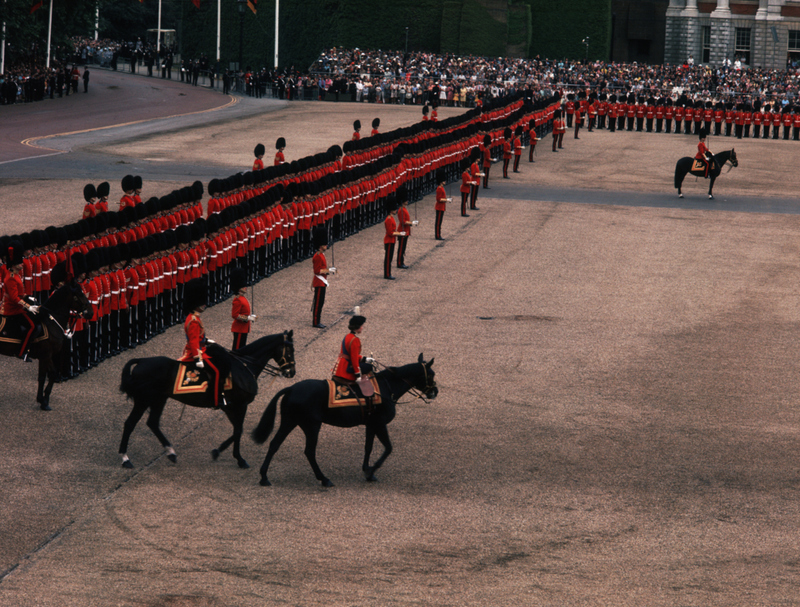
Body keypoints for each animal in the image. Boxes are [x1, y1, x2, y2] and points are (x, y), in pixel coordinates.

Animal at [0, 282, 92, 410]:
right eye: (78, 295)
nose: (91, 312)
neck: (52, 321)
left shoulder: (45, 356)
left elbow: (45, 376)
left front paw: (42, 398)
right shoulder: (46, 355)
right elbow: (49, 375)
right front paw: (44, 401)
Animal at [117, 332, 296, 470]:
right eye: (290, 351)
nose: (291, 372)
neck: (244, 366)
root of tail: (141, 360)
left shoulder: (231, 407)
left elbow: (237, 430)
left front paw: (221, 451)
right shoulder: (238, 405)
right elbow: (238, 430)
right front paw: (237, 458)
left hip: (159, 399)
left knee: (152, 423)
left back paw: (170, 452)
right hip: (143, 400)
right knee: (130, 423)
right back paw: (125, 459)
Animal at [252, 356, 434, 490]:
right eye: (432, 375)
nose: (435, 392)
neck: (386, 387)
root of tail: (291, 388)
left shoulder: (371, 424)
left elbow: (368, 447)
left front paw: (367, 469)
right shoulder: (380, 423)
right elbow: (388, 448)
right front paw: (371, 471)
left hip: (290, 422)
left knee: (274, 444)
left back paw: (264, 477)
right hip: (312, 426)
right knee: (309, 451)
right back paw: (324, 479)